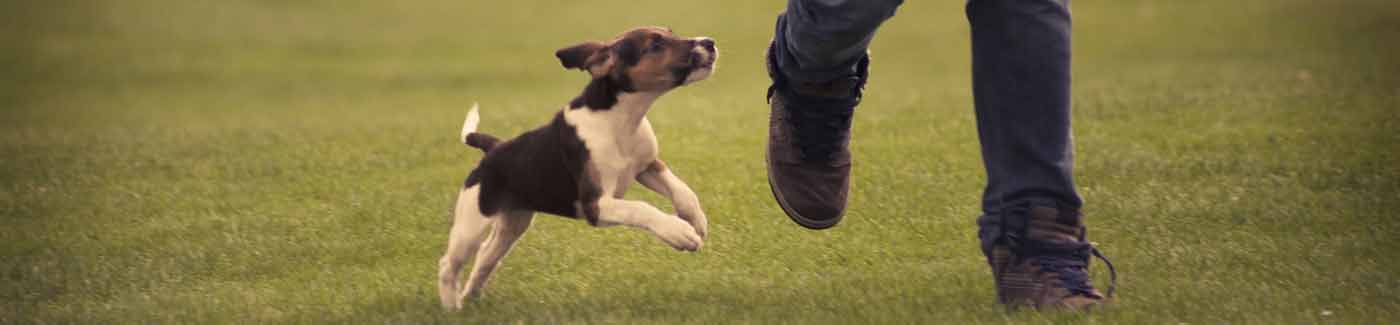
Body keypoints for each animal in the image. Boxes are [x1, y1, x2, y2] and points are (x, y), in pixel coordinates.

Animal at [434, 26, 722, 308]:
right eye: (655, 45)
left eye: (671, 33)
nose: (709, 42)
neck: (619, 120)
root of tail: (493, 148)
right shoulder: (595, 204)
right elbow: (641, 207)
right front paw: (678, 232)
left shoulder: (647, 166)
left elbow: (681, 189)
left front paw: (696, 219)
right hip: (471, 223)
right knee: (448, 264)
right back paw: (452, 307)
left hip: (513, 224)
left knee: (485, 256)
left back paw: (471, 296)